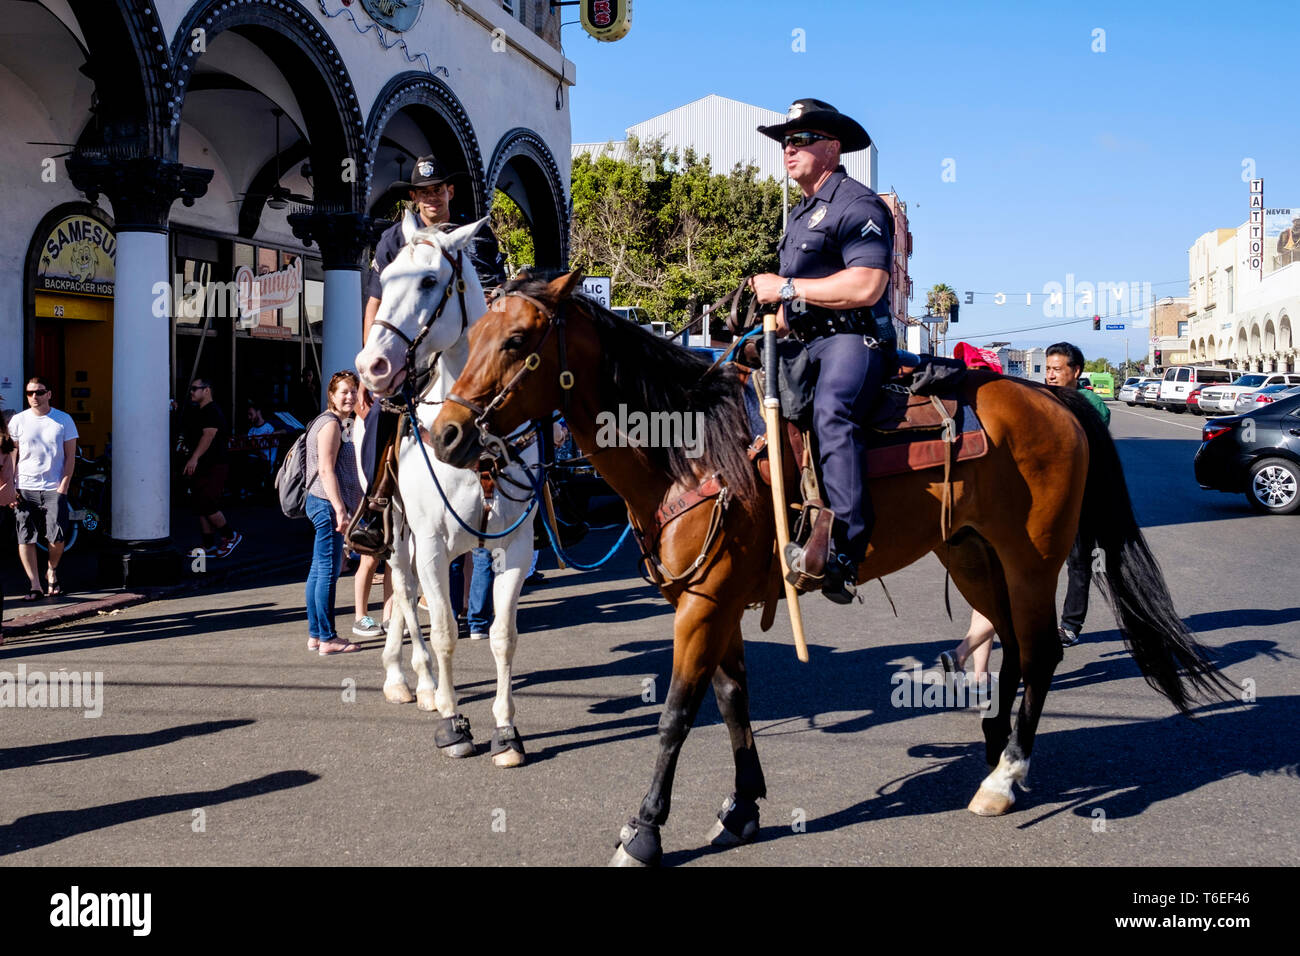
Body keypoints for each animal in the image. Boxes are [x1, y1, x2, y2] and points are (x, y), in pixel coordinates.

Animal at [353, 218, 535, 770]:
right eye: (386, 275)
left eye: (430, 281)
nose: (371, 365)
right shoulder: (431, 543)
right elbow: (447, 632)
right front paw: (454, 724)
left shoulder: (514, 548)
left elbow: (502, 637)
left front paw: (506, 732)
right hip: (395, 533)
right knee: (406, 594)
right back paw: (415, 681)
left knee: (407, 598)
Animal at [431, 270, 1232, 868]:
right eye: (471, 336)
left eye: (517, 339)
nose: (447, 434)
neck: (688, 450)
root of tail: (1053, 395)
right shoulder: (718, 601)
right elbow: (733, 701)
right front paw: (742, 809)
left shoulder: (704, 603)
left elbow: (676, 714)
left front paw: (645, 829)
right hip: (971, 553)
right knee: (1005, 646)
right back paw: (993, 750)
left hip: (1031, 559)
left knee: (1039, 652)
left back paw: (1006, 778)